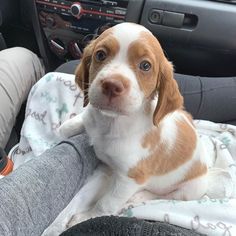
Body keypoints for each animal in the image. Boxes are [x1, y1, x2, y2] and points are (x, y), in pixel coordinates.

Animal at [59, 22, 208, 227]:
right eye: (100, 55)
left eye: (145, 65)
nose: (112, 85)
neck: (111, 122)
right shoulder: (91, 119)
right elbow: (71, 125)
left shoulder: (130, 179)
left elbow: (106, 203)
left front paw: (84, 217)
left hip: (191, 189)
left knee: (164, 196)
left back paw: (138, 197)